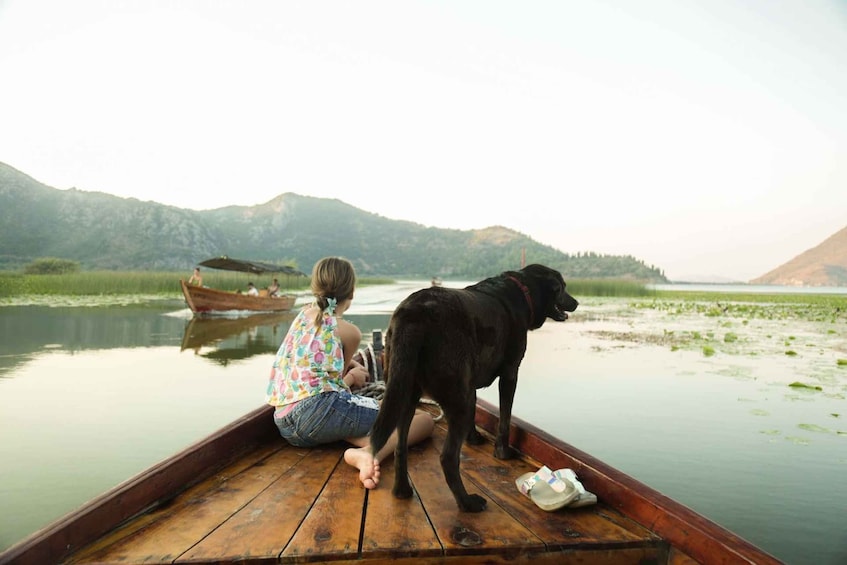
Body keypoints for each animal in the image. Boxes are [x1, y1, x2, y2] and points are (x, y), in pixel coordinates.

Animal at [370, 264, 576, 512]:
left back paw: (401, 491)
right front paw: (502, 452)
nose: (576, 302)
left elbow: (475, 414)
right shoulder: (510, 374)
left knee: (400, 446)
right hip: (456, 396)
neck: (524, 290)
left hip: (406, 392)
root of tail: (414, 314)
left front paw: (474, 438)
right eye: (562, 286)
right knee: (448, 458)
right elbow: (505, 418)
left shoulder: (471, 383)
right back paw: (467, 502)